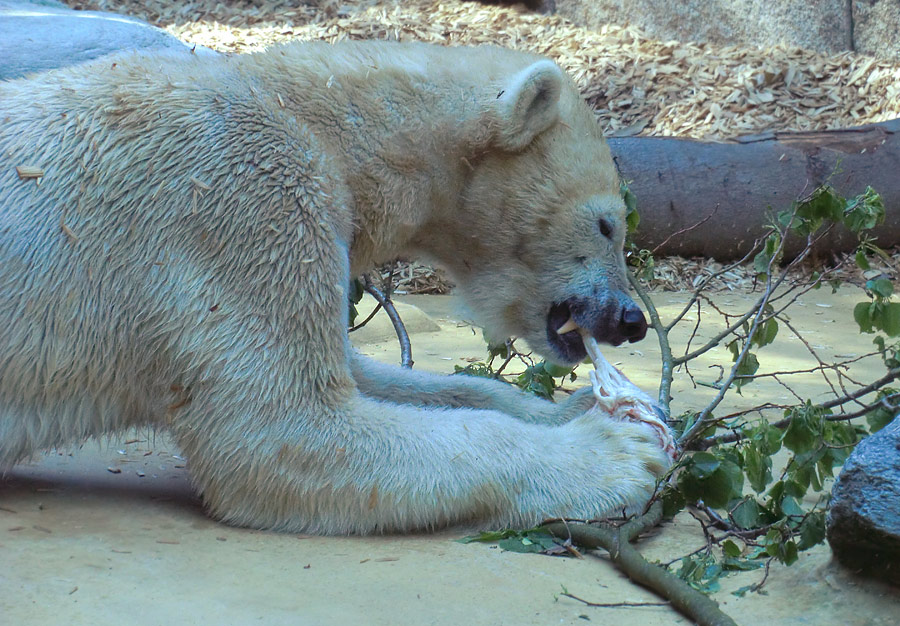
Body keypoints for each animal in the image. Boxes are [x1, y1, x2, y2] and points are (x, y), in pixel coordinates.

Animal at [0, 40, 668, 532]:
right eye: (608, 223)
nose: (631, 319)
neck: (316, 117)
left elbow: (374, 377)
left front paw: (581, 408)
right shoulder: (242, 204)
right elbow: (287, 433)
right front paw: (615, 453)